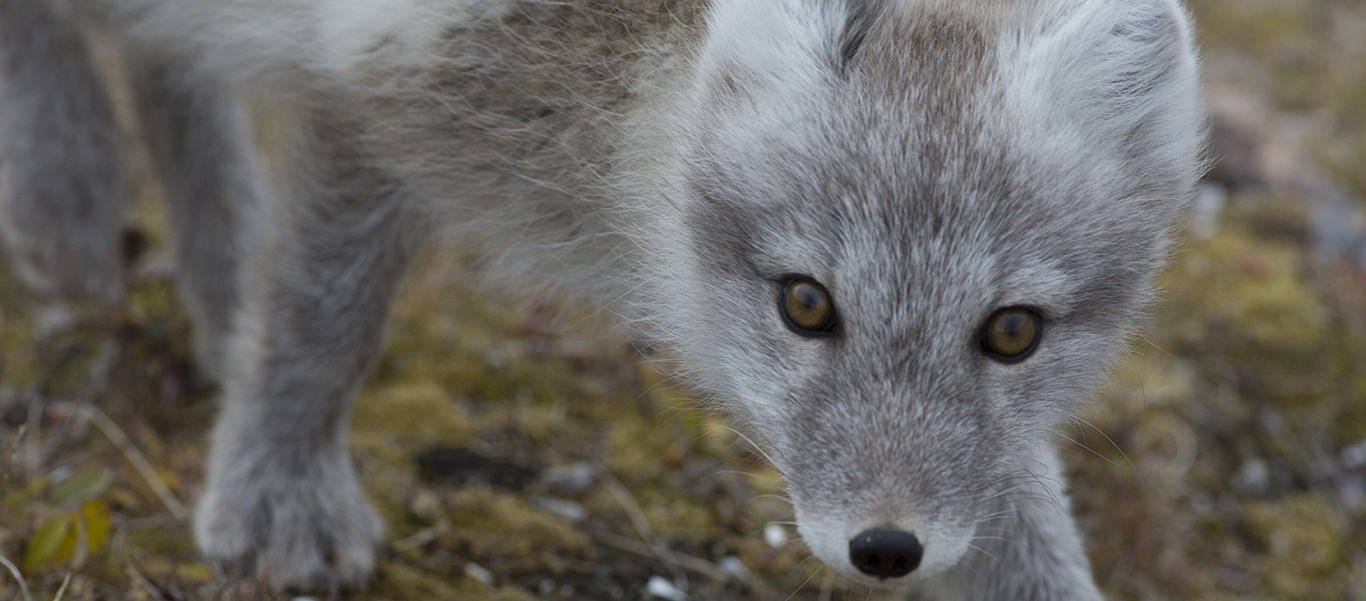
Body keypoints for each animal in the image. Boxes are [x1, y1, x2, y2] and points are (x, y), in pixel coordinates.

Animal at [0, 0, 1202, 595]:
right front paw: (277, 505)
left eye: (1013, 331)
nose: (885, 549)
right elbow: (320, 317)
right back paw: (65, 186)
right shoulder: (372, 75)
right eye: (806, 304)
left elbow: (1018, 510)